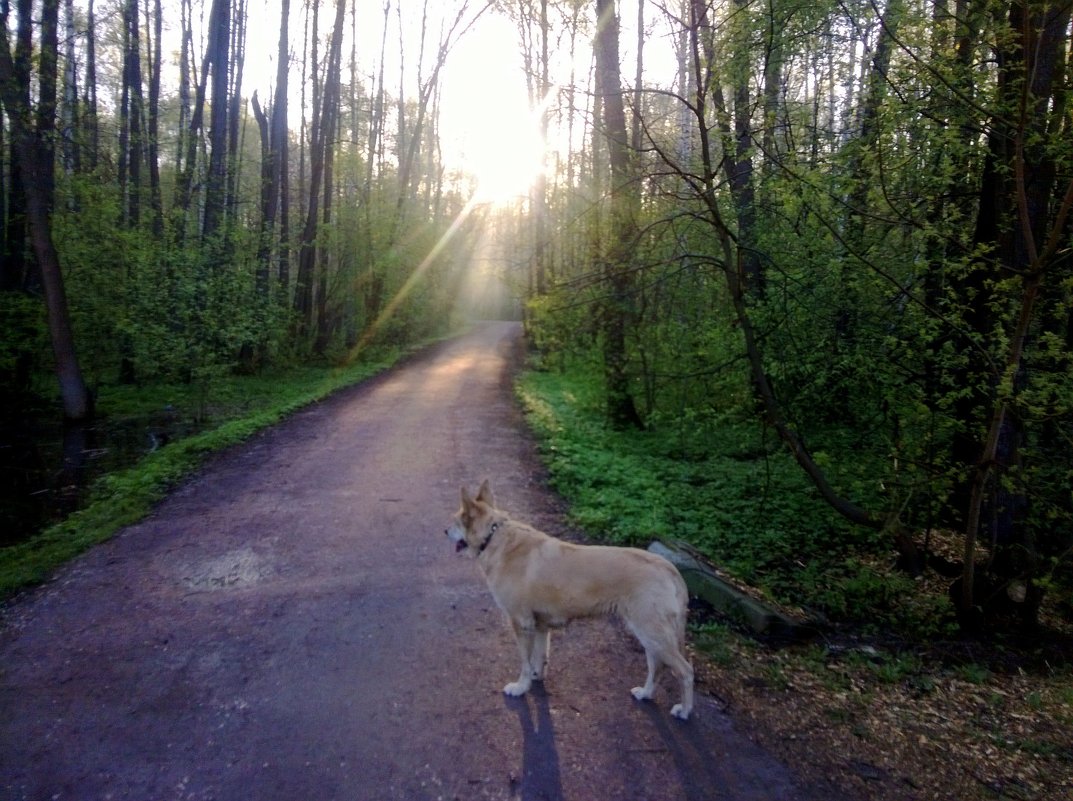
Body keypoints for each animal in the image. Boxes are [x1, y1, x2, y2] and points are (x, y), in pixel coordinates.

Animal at [444, 482, 695, 720]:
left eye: (455, 522)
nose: (445, 530)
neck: (493, 536)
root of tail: (669, 567)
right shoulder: (540, 625)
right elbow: (540, 656)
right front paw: (536, 676)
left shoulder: (520, 623)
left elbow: (525, 662)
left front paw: (521, 687)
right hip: (650, 637)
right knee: (657, 668)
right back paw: (646, 693)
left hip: (654, 634)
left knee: (685, 671)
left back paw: (684, 710)